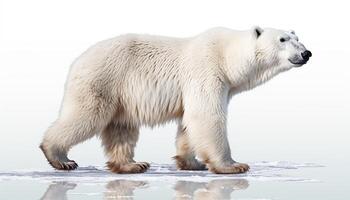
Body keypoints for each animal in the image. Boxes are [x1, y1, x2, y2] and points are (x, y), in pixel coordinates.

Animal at [40, 26, 312, 173]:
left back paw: (133, 165)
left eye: (298, 38)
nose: (306, 53)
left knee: (122, 128)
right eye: (282, 39)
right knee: (86, 116)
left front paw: (191, 163)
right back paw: (60, 158)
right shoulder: (207, 71)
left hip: (121, 95)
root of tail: (77, 60)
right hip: (104, 79)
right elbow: (206, 116)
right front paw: (233, 165)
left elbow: (189, 122)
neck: (228, 57)